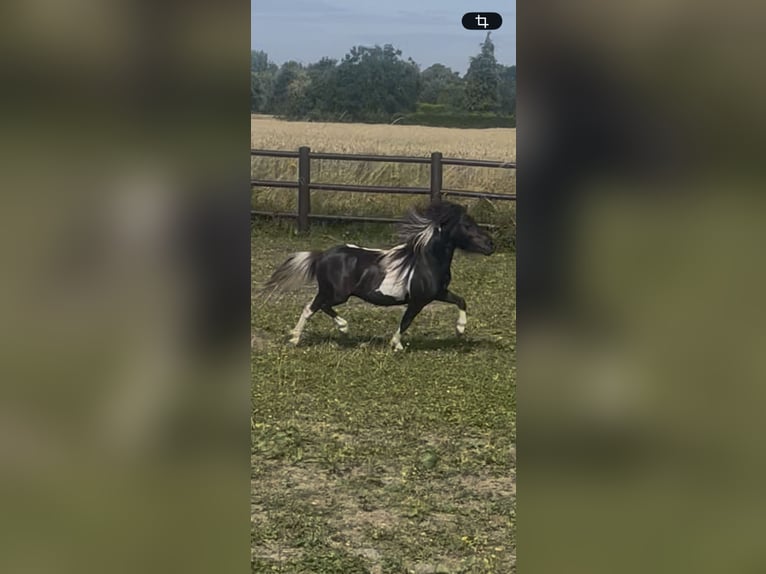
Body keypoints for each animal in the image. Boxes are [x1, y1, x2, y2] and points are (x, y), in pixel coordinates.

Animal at [261, 200, 495, 351]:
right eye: (467, 225)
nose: (491, 245)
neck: (426, 261)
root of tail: (322, 255)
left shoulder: (438, 293)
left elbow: (461, 301)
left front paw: (460, 329)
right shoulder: (418, 300)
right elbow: (406, 320)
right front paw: (396, 345)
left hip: (331, 292)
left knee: (314, 306)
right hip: (337, 294)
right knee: (314, 307)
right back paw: (324, 332)